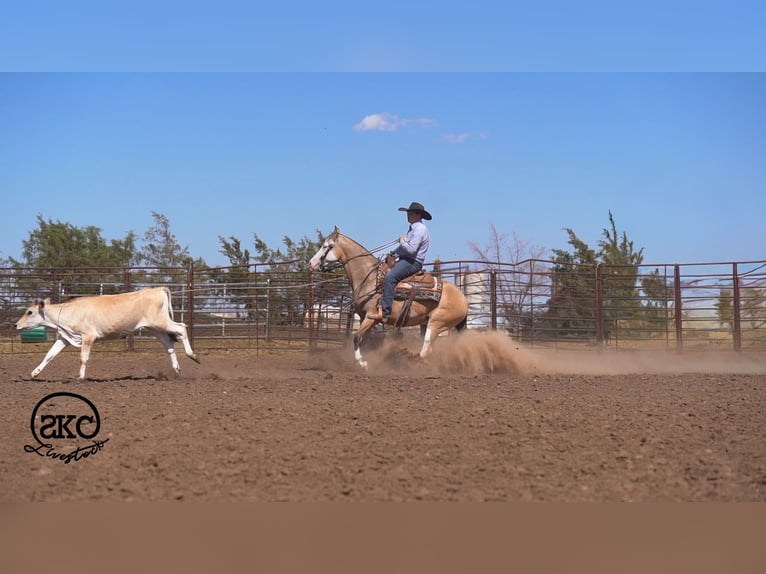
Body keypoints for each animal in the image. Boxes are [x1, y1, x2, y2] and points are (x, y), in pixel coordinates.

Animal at [309, 226, 468, 368]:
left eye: (326, 246)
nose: (311, 263)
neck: (370, 278)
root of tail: (463, 299)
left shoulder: (371, 316)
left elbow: (356, 337)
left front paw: (363, 363)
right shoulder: (366, 318)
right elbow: (363, 340)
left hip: (436, 323)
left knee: (426, 348)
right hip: (428, 323)